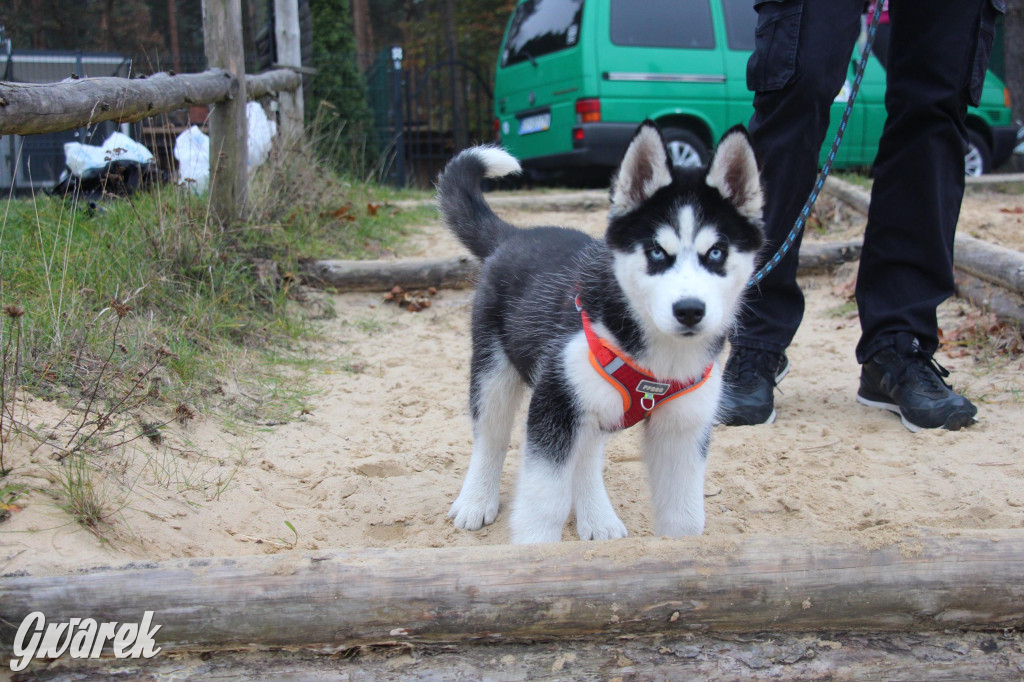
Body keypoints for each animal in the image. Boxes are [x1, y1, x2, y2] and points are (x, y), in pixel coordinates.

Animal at [436, 119, 765, 540]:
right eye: (657, 252)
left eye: (717, 253)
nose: (690, 310)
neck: (660, 359)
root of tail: (514, 235)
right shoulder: (554, 402)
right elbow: (542, 505)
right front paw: (533, 547)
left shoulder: (684, 429)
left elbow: (685, 519)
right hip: (494, 372)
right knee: (490, 436)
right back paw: (476, 501)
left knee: (586, 454)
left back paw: (597, 517)